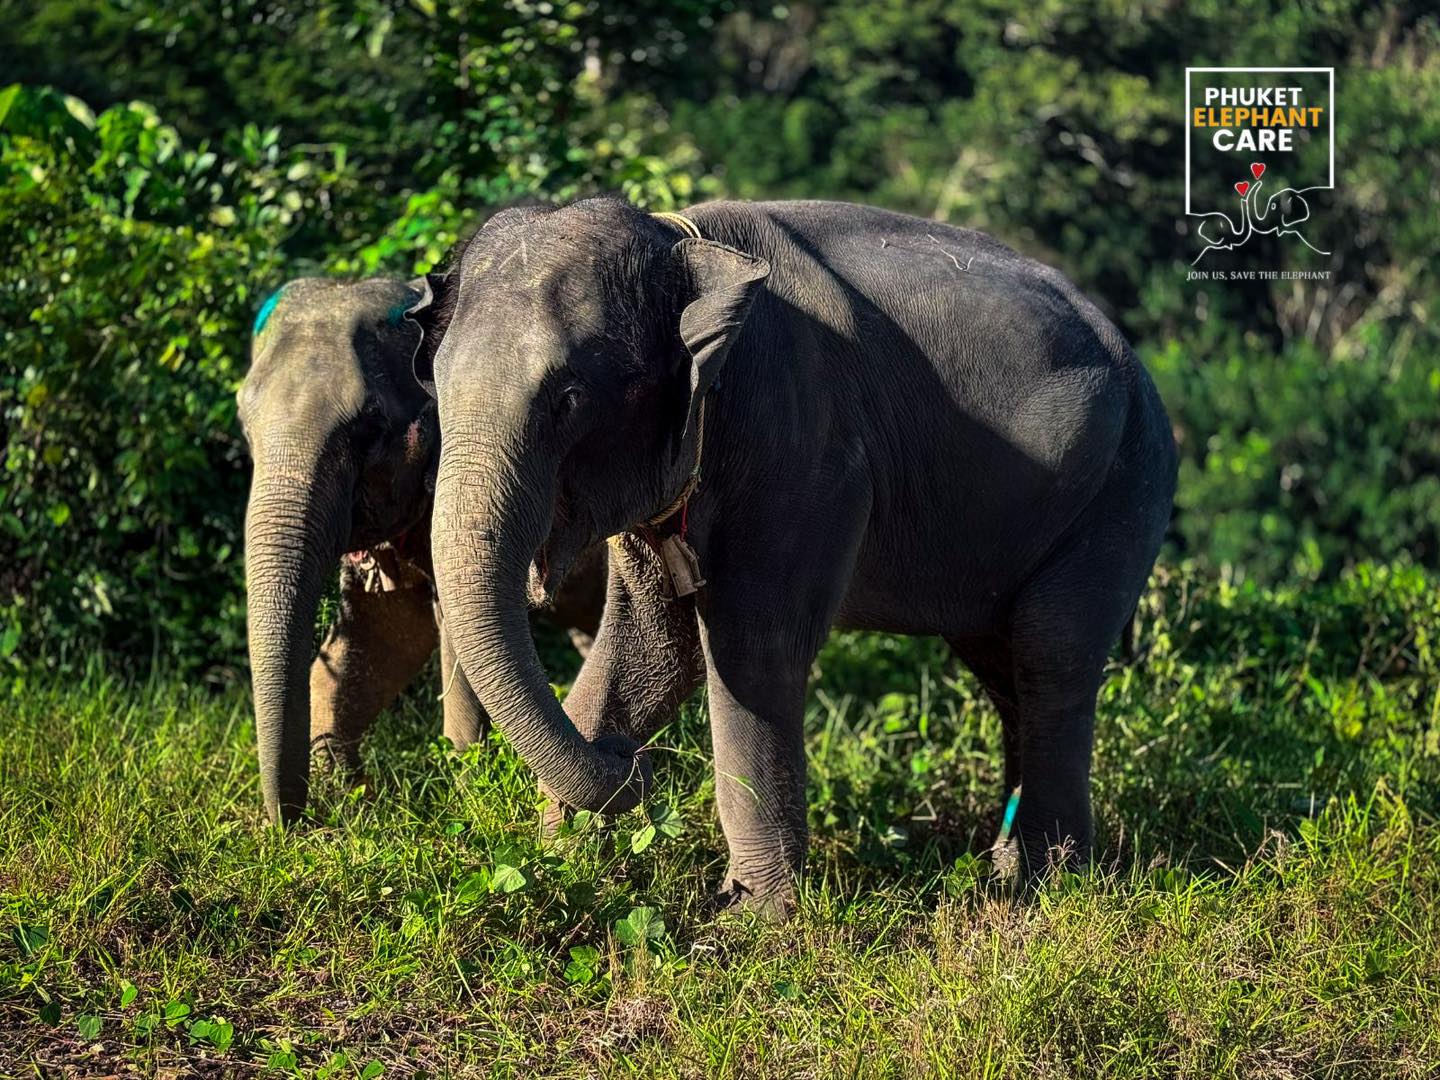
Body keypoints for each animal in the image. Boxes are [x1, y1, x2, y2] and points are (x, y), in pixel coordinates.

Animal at [238, 277, 605, 824]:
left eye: (369, 424)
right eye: (243, 420)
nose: (293, 827)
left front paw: (466, 794)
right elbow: (382, 635)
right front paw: (350, 791)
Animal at [409, 197, 1177, 912]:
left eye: (568, 398)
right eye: (435, 389)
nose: (635, 770)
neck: (680, 244)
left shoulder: (806, 454)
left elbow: (754, 651)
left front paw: (751, 920)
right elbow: (655, 649)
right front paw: (562, 865)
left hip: (1124, 488)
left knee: (1053, 654)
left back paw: (1050, 884)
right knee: (1004, 666)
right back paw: (1011, 868)